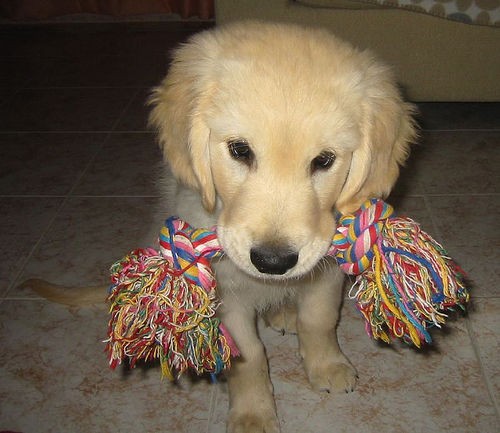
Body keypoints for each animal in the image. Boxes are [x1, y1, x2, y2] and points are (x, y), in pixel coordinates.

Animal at [147, 21, 414, 432]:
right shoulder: (224, 294)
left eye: (324, 160)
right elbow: (249, 356)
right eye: (240, 150)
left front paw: (327, 365)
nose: (273, 263)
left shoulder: (326, 265)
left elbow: (318, 320)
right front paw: (253, 413)